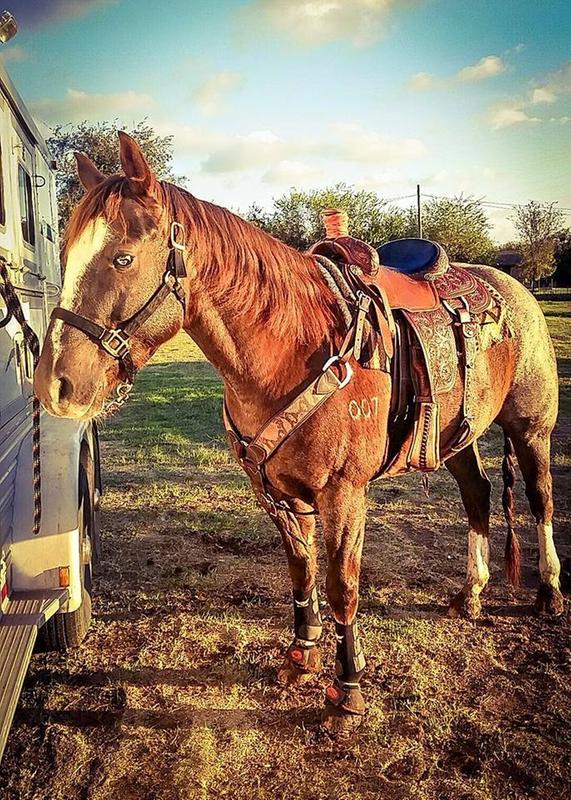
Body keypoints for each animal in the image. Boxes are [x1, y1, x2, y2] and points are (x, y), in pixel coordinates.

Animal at [34, 132, 564, 735]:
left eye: (121, 258)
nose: (54, 384)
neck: (290, 347)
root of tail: (512, 286)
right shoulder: (279, 495)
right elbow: (301, 571)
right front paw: (302, 656)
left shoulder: (343, 493)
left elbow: (341, 585)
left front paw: (348, 690)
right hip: (457, 435)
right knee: (477, 495)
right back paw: (472, 592)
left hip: (530, 429)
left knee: (541, 499)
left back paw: (549, 591)